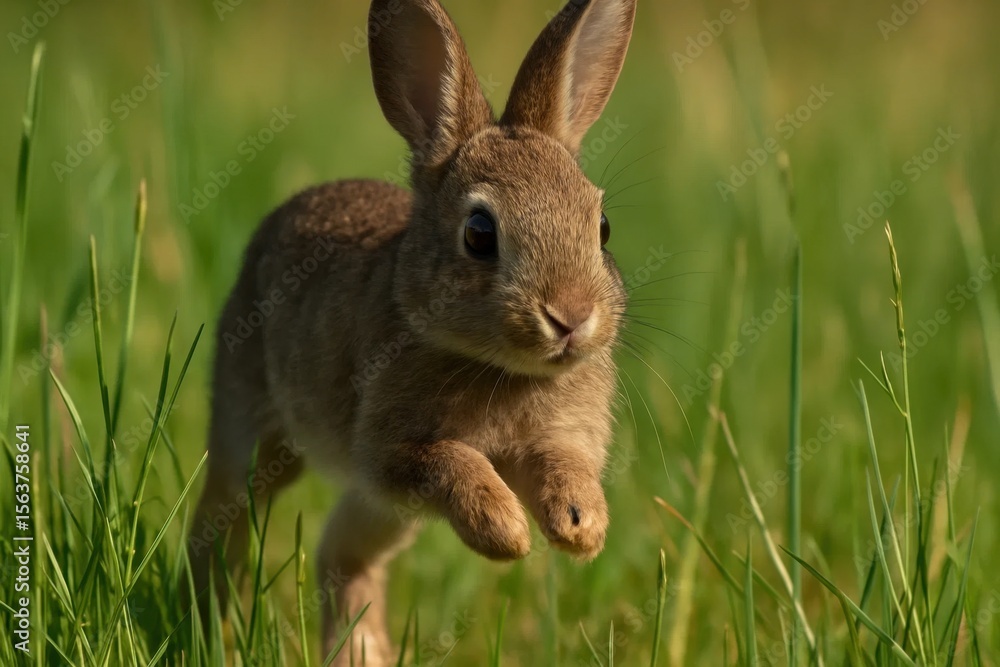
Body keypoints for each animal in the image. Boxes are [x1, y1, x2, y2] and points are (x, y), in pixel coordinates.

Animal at [186, 0, 638, 663]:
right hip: (258, 432)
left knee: (342, 555)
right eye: (479, 233)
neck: (501, 367)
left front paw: (580, 527)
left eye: (601, 226)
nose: (572, 317)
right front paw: (506, 532)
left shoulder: (557, 439)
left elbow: (563, 466)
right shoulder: (393, 453)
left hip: (384, 512)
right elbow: (452, 462)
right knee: (224, 517)